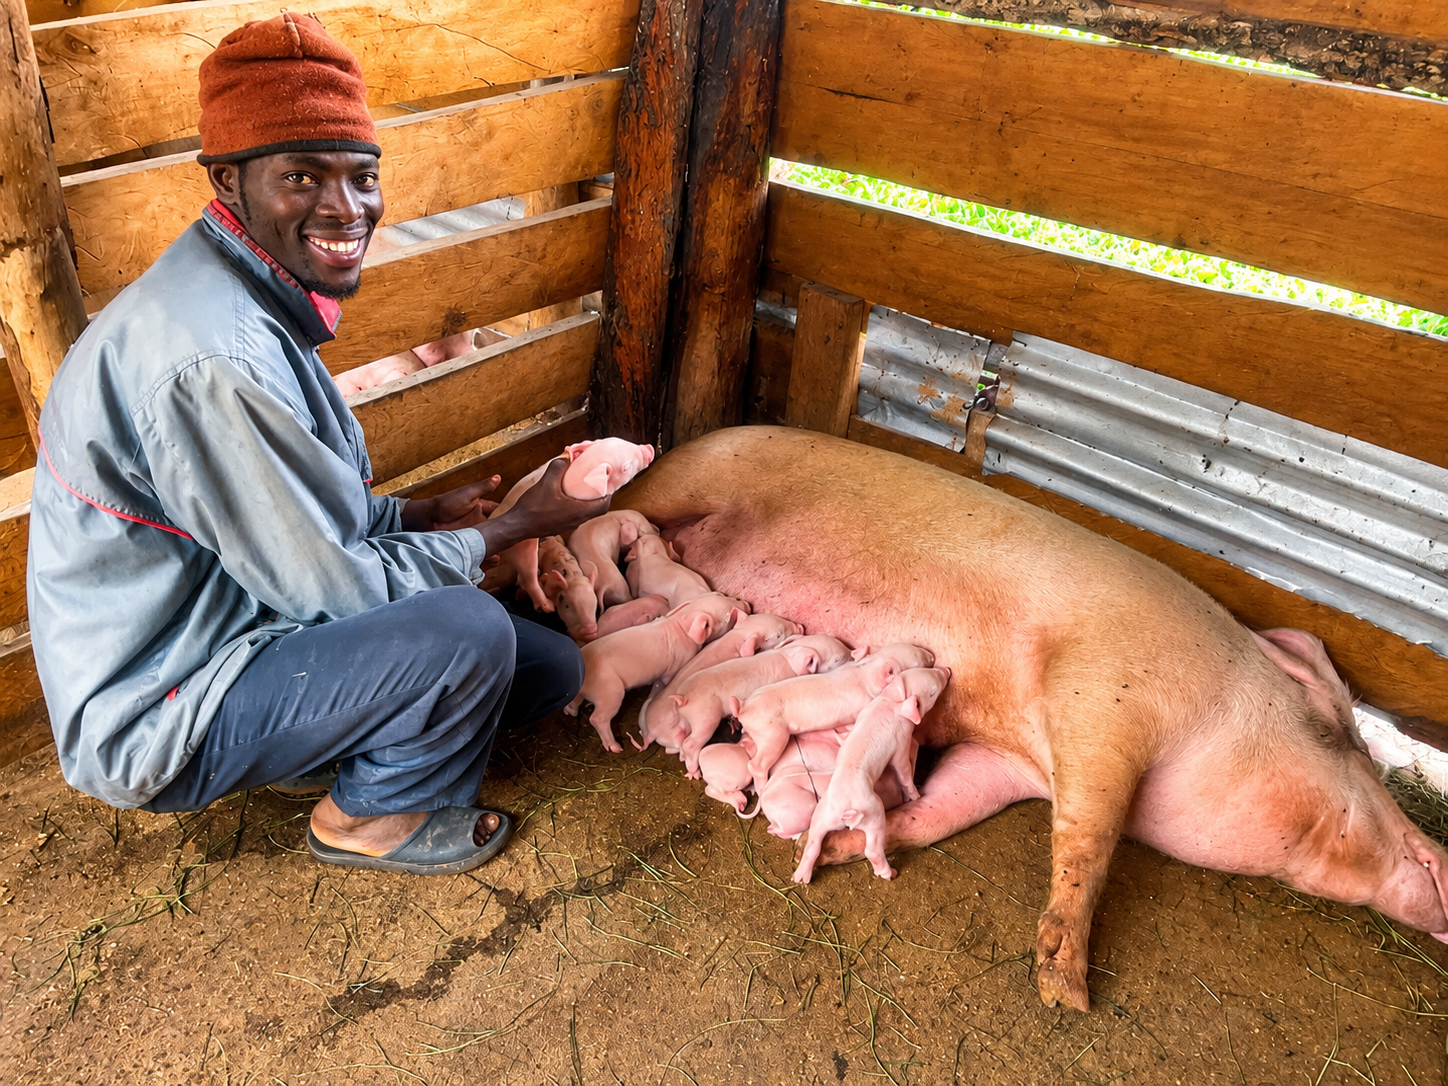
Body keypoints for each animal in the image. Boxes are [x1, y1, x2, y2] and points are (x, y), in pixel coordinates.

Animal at [565, 593, 740, 752]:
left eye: (719, 594)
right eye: (727, 616)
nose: (741, 601)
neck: (681, 624)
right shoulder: (675, 666)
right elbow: (667, 680)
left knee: (574, 703)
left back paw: (570, 712)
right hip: (610, 692)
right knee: (597, 719)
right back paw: (616, 748)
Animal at [735, 643, 935, 792]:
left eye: (912, 646)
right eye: (917, 663)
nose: (932, 656)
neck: (864, 674)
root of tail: (743, 709)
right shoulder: (860, 707)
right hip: (772, 734)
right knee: (756, 764)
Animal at [793, 667, 951, 884]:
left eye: (923, 669)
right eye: (933, 692)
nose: (946, 670)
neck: (891, 701)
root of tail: (846, 810)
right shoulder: (901, 742)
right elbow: (903, 771)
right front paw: (916, 796)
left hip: (822, 815)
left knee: (813, 845)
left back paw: (799, 878)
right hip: (874, 814)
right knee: (872, 850)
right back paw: (890, 874)